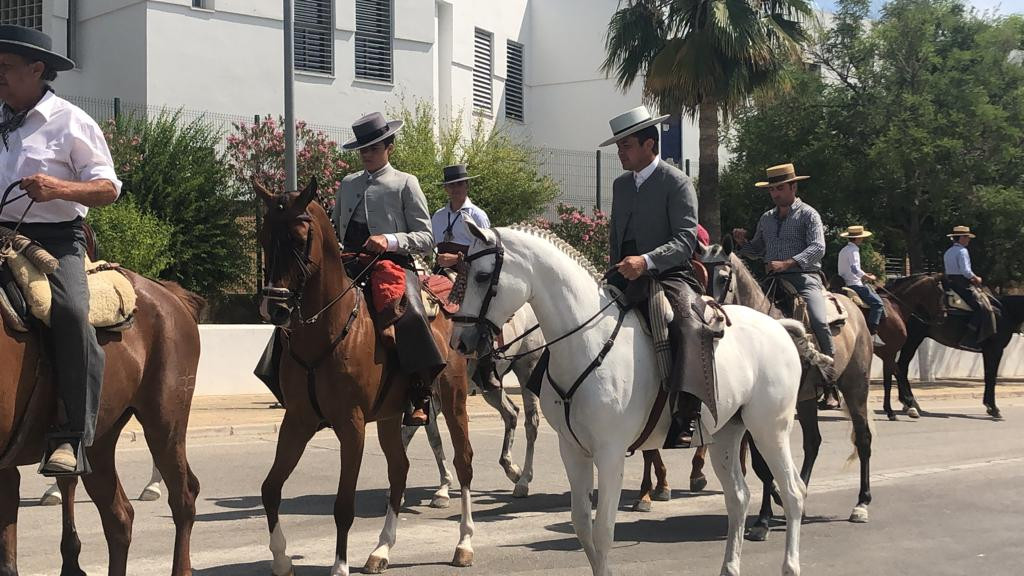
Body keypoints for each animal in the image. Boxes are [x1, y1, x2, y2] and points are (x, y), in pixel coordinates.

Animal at [258, 180, 477, 573]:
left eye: (299, 239)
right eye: (266, 236)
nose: (276, 308)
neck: (328, 329)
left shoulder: (352, 424)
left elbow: (344, 505)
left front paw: (339, 566)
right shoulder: (297, 420)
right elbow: (270, 489)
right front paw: (281, 559)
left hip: (453, 400)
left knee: (463, 462)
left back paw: (464, 543)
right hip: (390, 416)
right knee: (399, 470)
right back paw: (381, 550)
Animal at [452, 225, 819, 573]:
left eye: (482, 276)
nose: (460, 341)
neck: (587, 342)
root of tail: (779, 326)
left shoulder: (610, 453)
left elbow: (603, 533)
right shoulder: (572, 450)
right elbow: (582, 527)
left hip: (769, 430)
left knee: (793, 492)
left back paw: (790, 564)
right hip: (726, 435)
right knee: (738, 498)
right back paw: (729, 566)